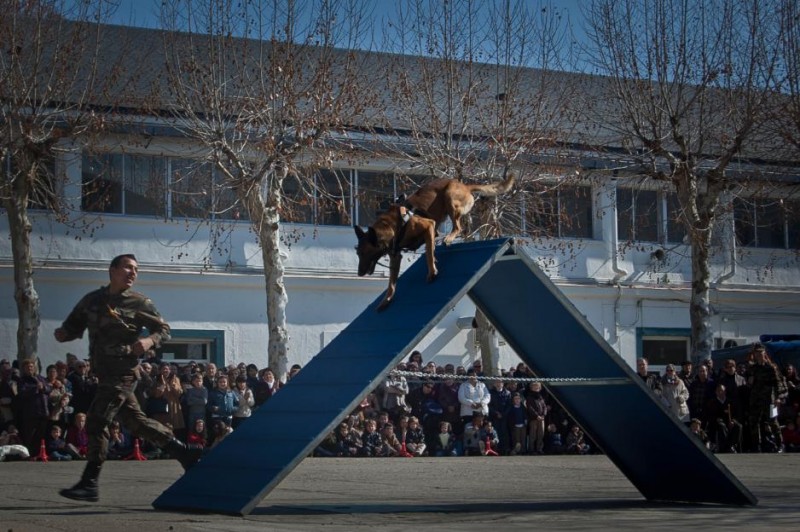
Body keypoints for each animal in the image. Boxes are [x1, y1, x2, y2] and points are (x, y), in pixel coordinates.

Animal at [354, 172, 516, 310]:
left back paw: (449, 238)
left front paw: (432, 272)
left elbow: (428, 255)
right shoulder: (396, 256)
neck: (391, 226)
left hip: (449, 197)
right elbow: (391, 283)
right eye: (358, 253)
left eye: (364, 253)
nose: (359, 273)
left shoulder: (428, 226)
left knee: (458, 227)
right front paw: (386, 300)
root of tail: (465, 185)